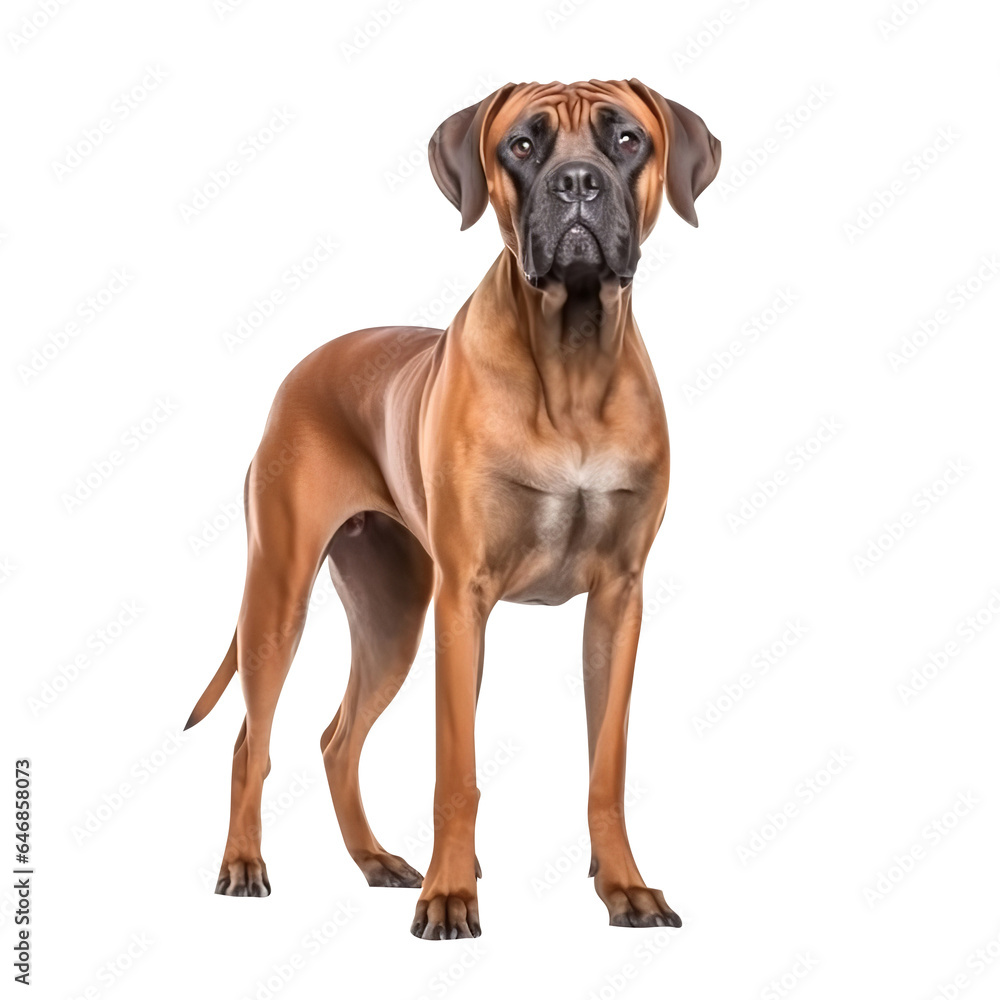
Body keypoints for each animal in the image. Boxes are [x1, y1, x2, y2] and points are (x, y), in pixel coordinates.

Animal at [186, 78, 720, 936]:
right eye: (523, 144)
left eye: (627, 139)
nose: (578, 183)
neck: (572, 360)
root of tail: (308, 363)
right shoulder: (463, 600)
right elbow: (456, 770)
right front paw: (450, 896)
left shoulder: (618, 599)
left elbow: (606, 769)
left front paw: (625, 886)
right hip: (280, 595)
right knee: (251, 741)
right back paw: (243, 864)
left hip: (392, 615)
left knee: (337, 739)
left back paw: (376, 861)